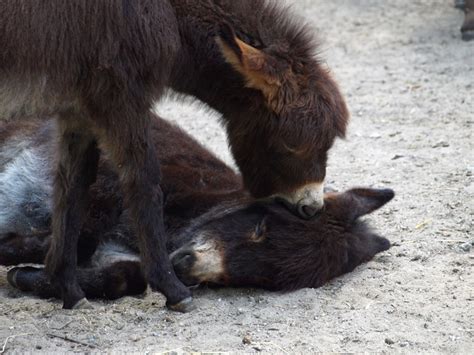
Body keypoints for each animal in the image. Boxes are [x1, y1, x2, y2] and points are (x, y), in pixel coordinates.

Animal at [0, 115, 392, 298]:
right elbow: (82, 238)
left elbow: (126, 274)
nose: (184, 268)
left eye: (269, 278)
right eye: (260, 228)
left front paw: (28, 275)